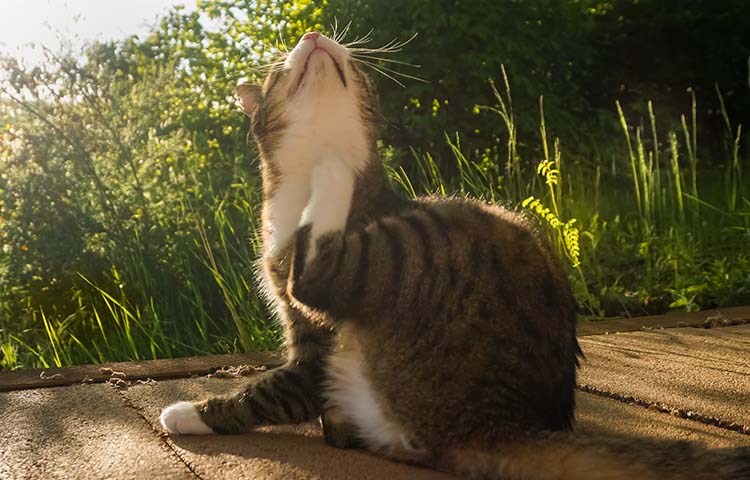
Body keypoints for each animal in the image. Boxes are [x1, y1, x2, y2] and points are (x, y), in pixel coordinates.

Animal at [157, 31, 748, 478]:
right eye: (282, 71)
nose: (313, 34)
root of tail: (501, 421)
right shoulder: (306, 341)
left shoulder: (316, 347)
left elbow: (267, 391)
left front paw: (188, 413)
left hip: (396, 263)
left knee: (321, 273)